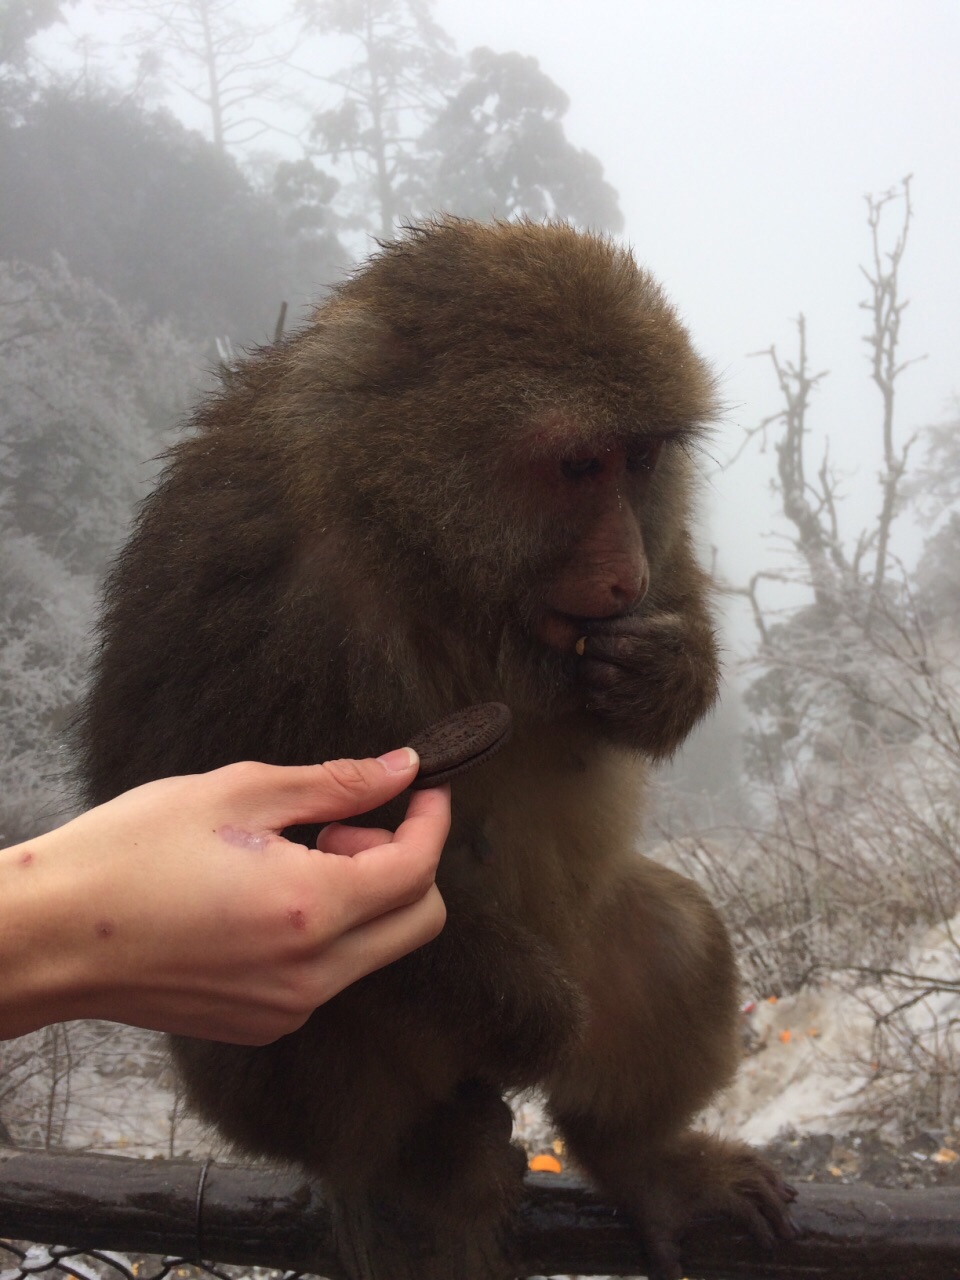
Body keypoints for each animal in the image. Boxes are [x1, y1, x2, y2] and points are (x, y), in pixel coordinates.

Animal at [77, 220, 798, 1280]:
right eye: (579, 467)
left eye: (641, 459)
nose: (624, 571)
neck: (415, 548)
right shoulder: (239, 565)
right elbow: (173, 816)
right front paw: (534, 1023)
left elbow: (668, 625)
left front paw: (663, 667)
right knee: (283, 1011)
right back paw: (415, 1166)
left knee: (673, 935)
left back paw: (640, 1159)